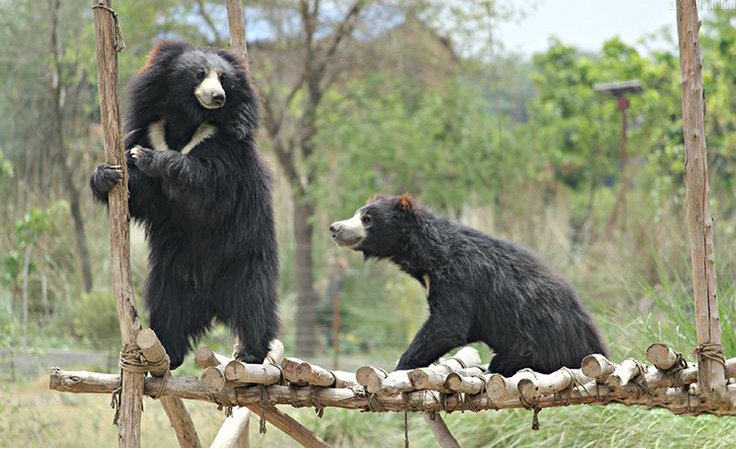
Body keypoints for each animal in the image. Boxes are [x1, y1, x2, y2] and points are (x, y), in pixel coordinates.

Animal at [90, 40, 278, 368]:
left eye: (224, 79)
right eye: (199, 74)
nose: (218, 97)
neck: (187, 122)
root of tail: (213, 302)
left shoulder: (225, 147)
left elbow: (208, 188)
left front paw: (151, 159)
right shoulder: (151, 130)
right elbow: (142, 196)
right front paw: (106, 175)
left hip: (246, 258)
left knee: (255, 302)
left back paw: (251, 352)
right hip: (172, 277)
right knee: (169, 310)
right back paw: (168, 351)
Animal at [330, 193, 608, 374]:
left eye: (367, 218)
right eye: (357, 214)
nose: (334, 227)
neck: (425, 258)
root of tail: (597, 347)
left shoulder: (457, 279)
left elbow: (448, 324)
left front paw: (401, 366)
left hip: (537, 344)